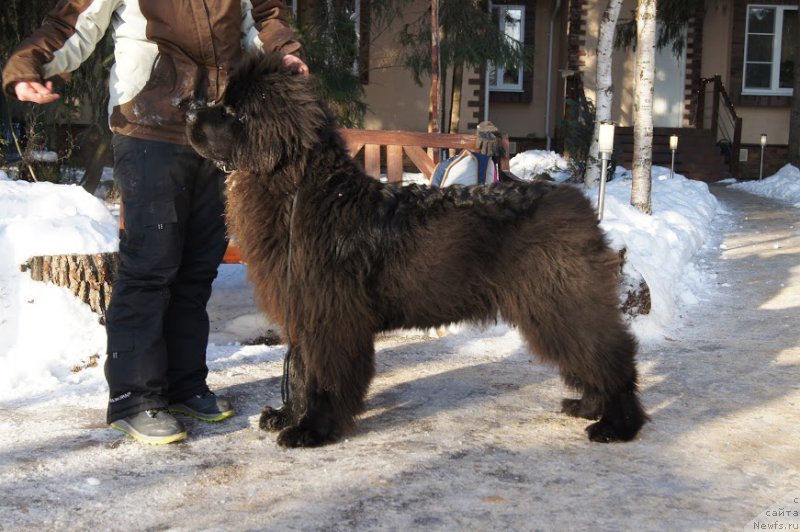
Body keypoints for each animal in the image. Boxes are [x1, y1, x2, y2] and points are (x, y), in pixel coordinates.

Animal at [184, 52, 648, 446]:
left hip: (561, 303)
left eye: (230, 112)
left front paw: (313, 429)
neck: (303, 189)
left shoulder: (330, 316)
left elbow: (323, 376)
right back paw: (588, 406)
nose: (186, 107)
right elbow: (298, 370)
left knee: (611, 356)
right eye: (222, 102)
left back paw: (617, 423)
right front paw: (288, 414)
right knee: (594, 356)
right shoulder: (303, 308)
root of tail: (576, 201)